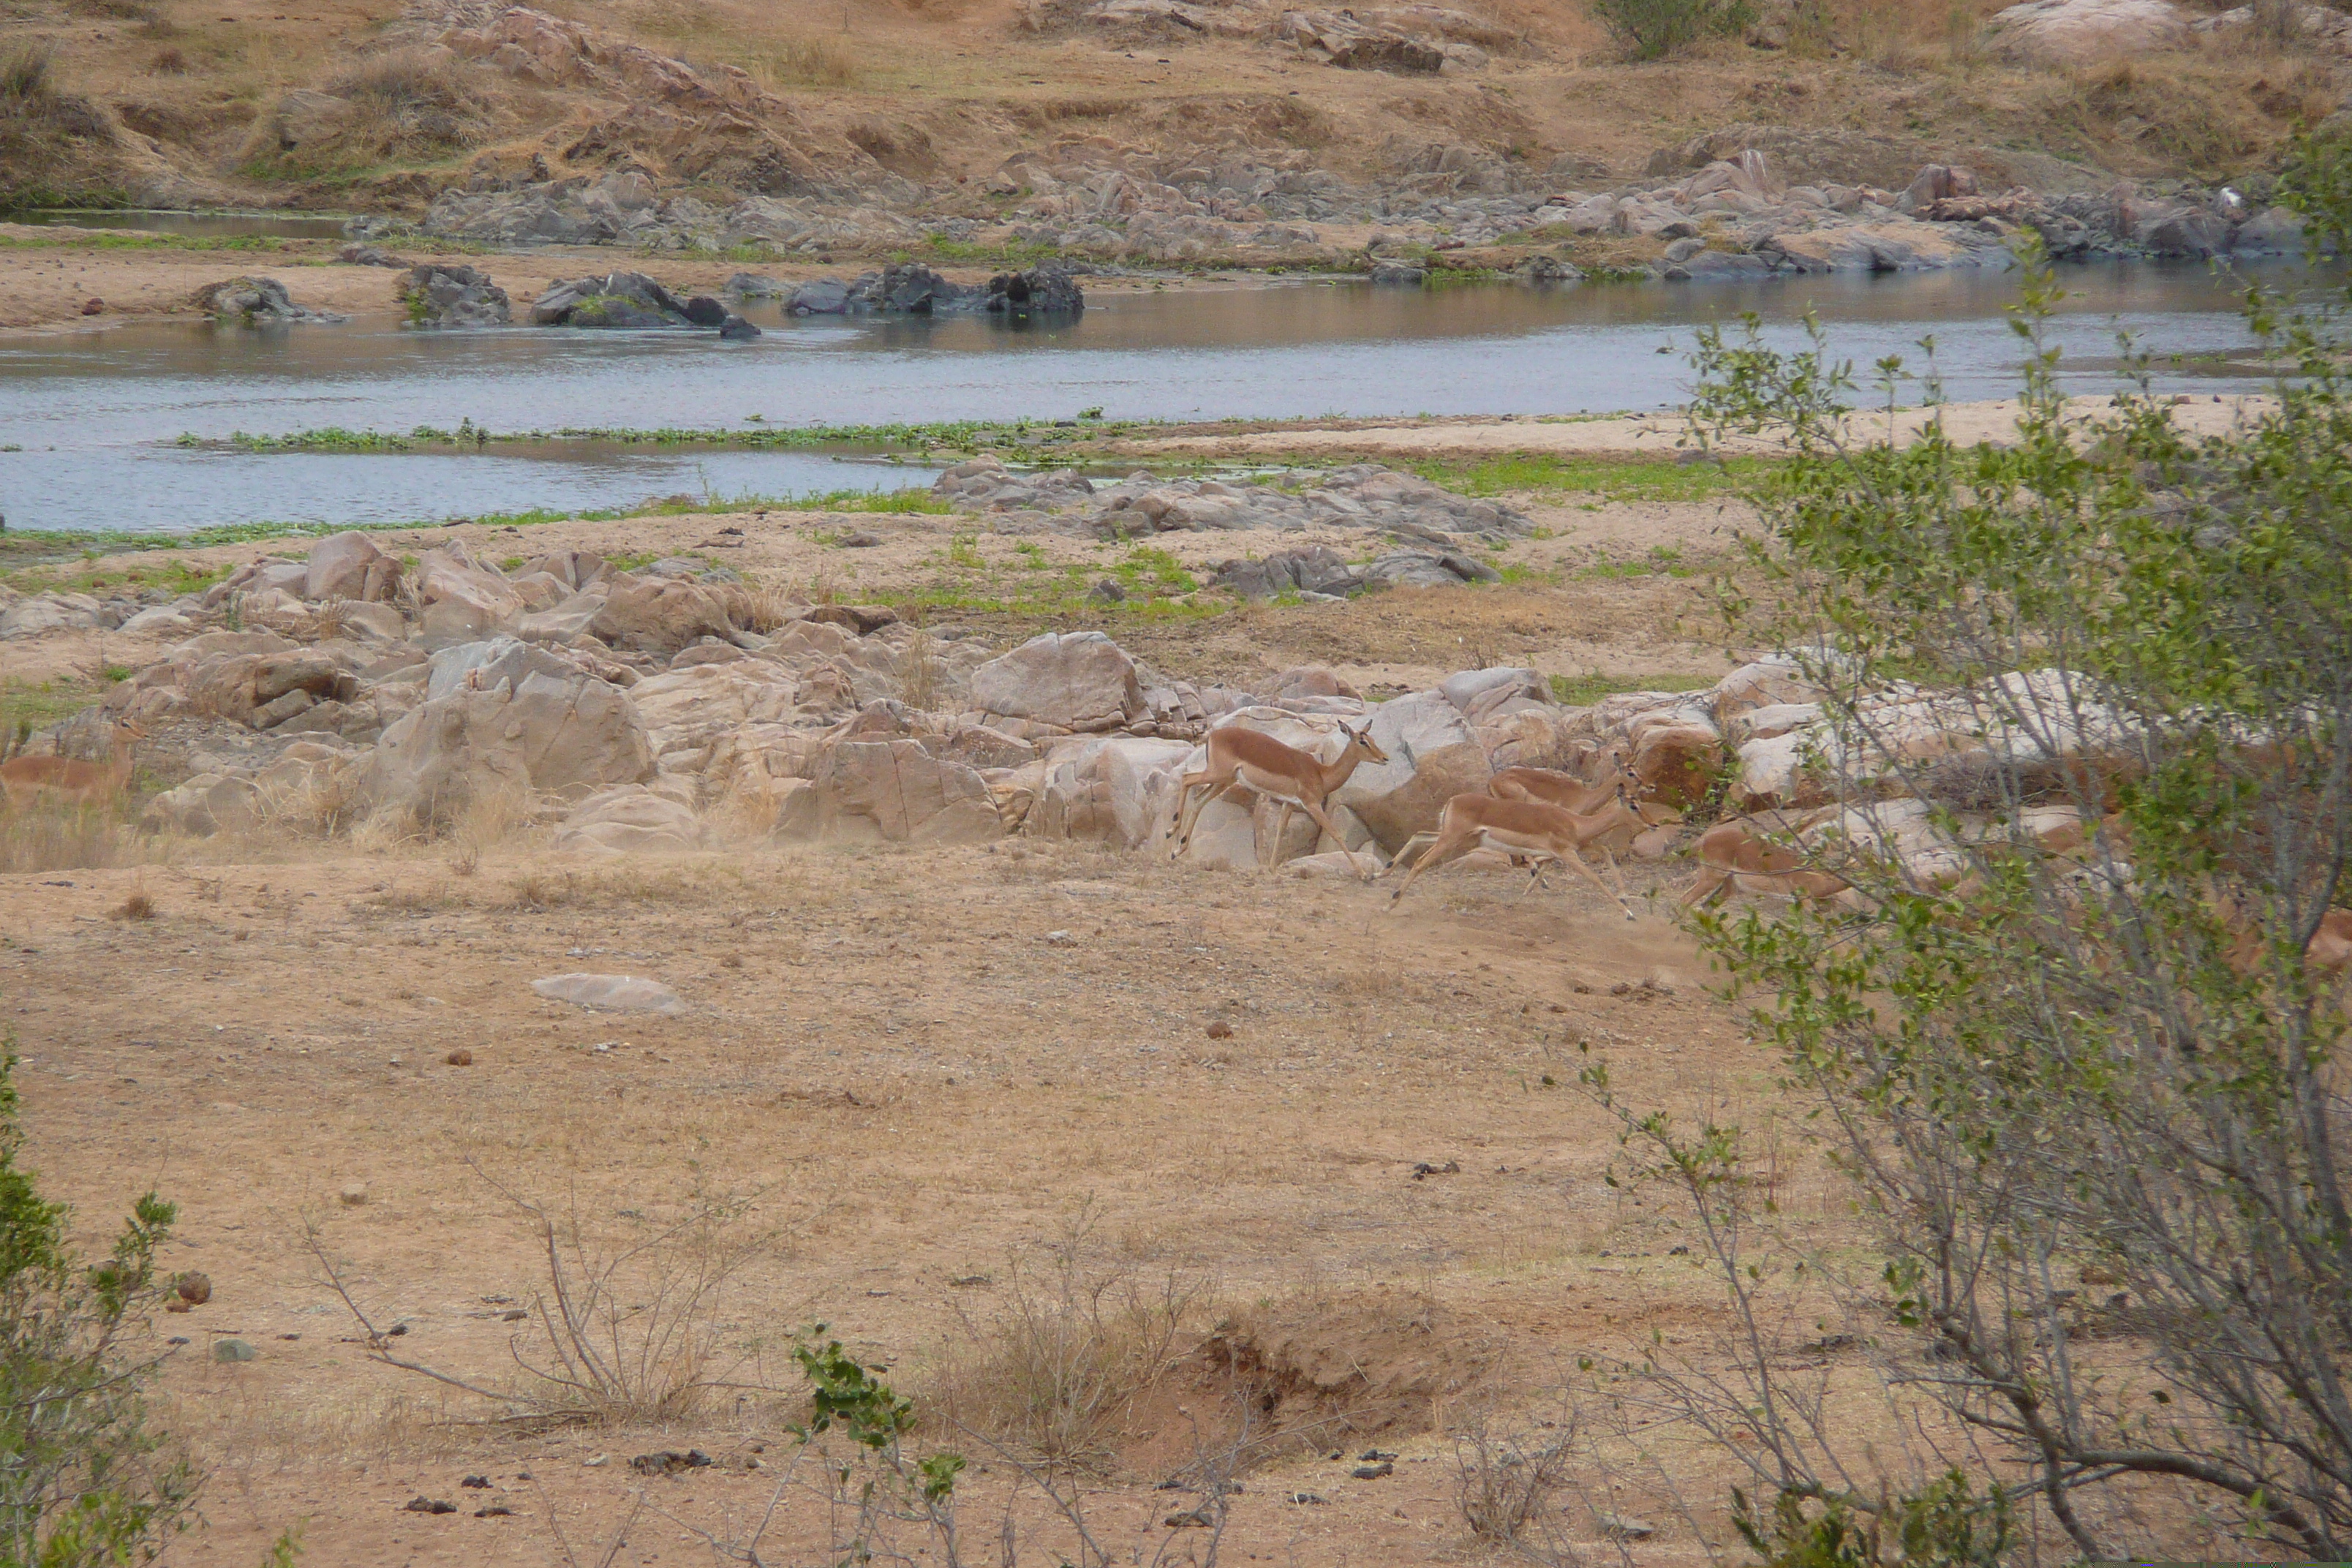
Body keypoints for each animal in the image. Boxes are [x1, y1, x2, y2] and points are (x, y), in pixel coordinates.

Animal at [1166, 719, 1383, 879]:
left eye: (1372, 739)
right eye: (1363, 741)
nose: (1384, 758)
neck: (1321, 774)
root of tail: (1213, 735)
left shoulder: (1289, 804)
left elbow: (1280, 830)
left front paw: (1272, 869)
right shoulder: (1312, 805)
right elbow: (1336, 833)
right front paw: (1365, 874)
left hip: (1224, 780)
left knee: (1199, 799)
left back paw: (1177, 849)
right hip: (1217, 774)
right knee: (1186, 779)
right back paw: (1171, 832)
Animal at [1383, 785, 1646, 921]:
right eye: (1633, 805)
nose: (1652, 824)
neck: (1575, 823)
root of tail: (1452, 800)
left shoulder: (1571, 849)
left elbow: (1603, 851)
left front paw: (1625, 898)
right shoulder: (1566, 853)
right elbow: (1594, 877)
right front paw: (1629, 913)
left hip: (1455, 839)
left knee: (1418, 836)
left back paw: (1381, 873)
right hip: (1451, 840)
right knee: (1419, 862)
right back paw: (1390, 903)